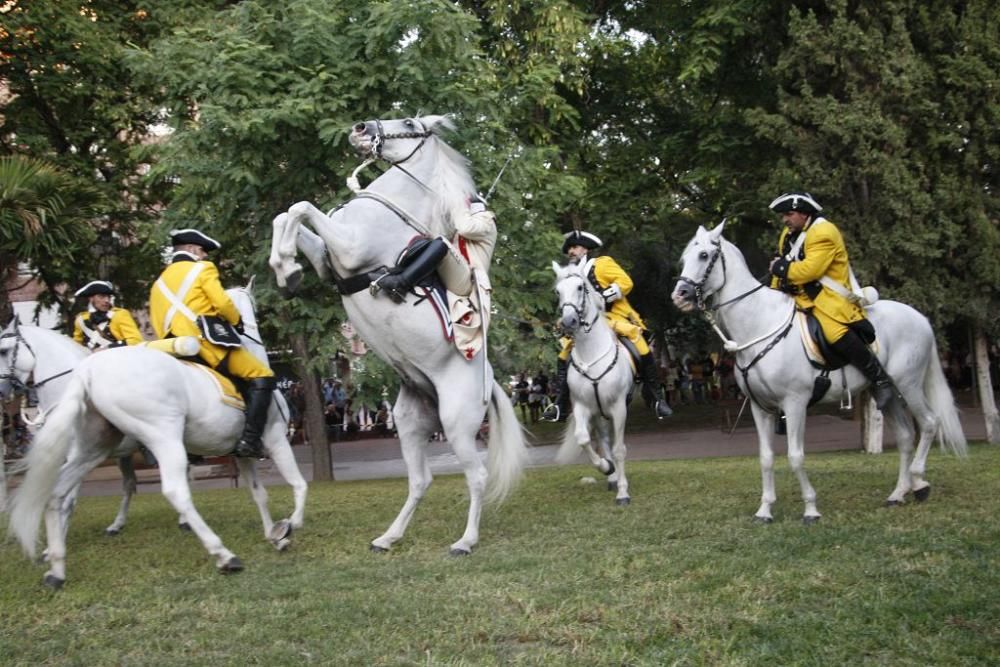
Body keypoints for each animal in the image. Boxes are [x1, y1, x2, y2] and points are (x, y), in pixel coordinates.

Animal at [266, 113, 532, 552]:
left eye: (408, 120)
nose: (359, 129)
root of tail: (490, 382)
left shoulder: (349, 250)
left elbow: (300, 207)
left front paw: (287, 267)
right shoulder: (327, 261)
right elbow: (286, 214)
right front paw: (286, 270)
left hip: (457, 422)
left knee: (476, 476)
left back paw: (465, 541)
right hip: (410, 421)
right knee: (420, 480)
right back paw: (388, 537)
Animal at [552, 260, 636, 506]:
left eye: (581, 287)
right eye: (557, 291)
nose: (567, 322)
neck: (591, 356)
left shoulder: (618, 408)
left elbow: (619, 450)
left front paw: (623, 493)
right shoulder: (582, 406)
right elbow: (583, 439)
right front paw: (606, 468)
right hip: (599, 414)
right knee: (604, 441)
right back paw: (612, 477)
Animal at [668, 224, 964, 520]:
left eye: (704, 255)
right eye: (684, 258)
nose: (679, 296)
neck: (759, 324)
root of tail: (920, 317)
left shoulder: (795, 403)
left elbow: (795, 456)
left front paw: (810, 508)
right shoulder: (760, 407)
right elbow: (766, 458)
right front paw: (765, 510)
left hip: (908, 384)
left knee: (929, 423)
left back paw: (919, 482)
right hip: (884, 392)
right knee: (904, 437)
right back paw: (898, 493)